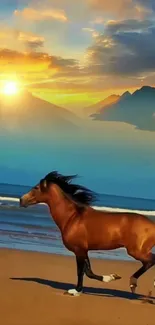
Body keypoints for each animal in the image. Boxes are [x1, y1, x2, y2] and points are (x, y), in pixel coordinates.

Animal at [19, 172, 155, 296]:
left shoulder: (78, 250)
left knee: (150, 261)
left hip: (136, 251)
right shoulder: (84, 250)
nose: (21, 200)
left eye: (36, 187)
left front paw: (75, 291)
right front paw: (112, 277)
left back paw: (134, 283)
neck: (72, 218)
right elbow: (88, 271)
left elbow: (81, 271)